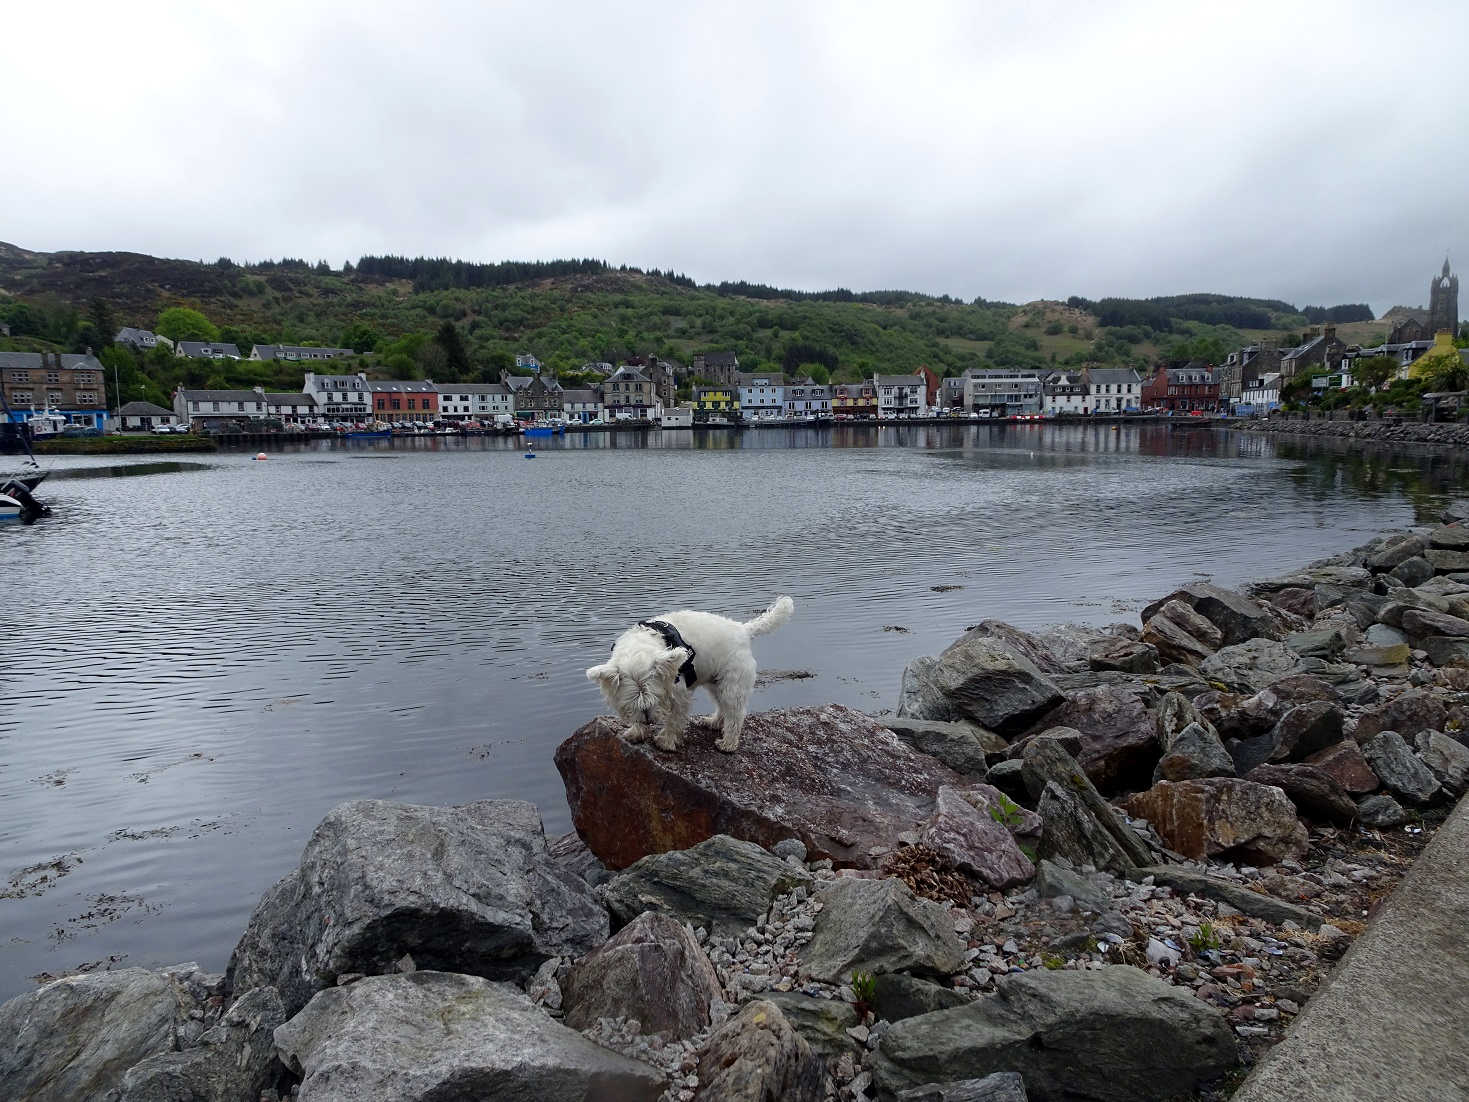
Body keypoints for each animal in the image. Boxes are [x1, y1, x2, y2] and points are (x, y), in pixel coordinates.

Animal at [584, 599, 799, 758]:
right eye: (633, 700)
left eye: (655, 697)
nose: (648, 720)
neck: (642, 647)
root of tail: (743, 629)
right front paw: (637, 732)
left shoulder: (679, 693)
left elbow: (674, 719)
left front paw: (666, 741)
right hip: (715, 681)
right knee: (722, 707)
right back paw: (713, 722)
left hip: (732, 683)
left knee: (735, 713)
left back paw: (727, 744)